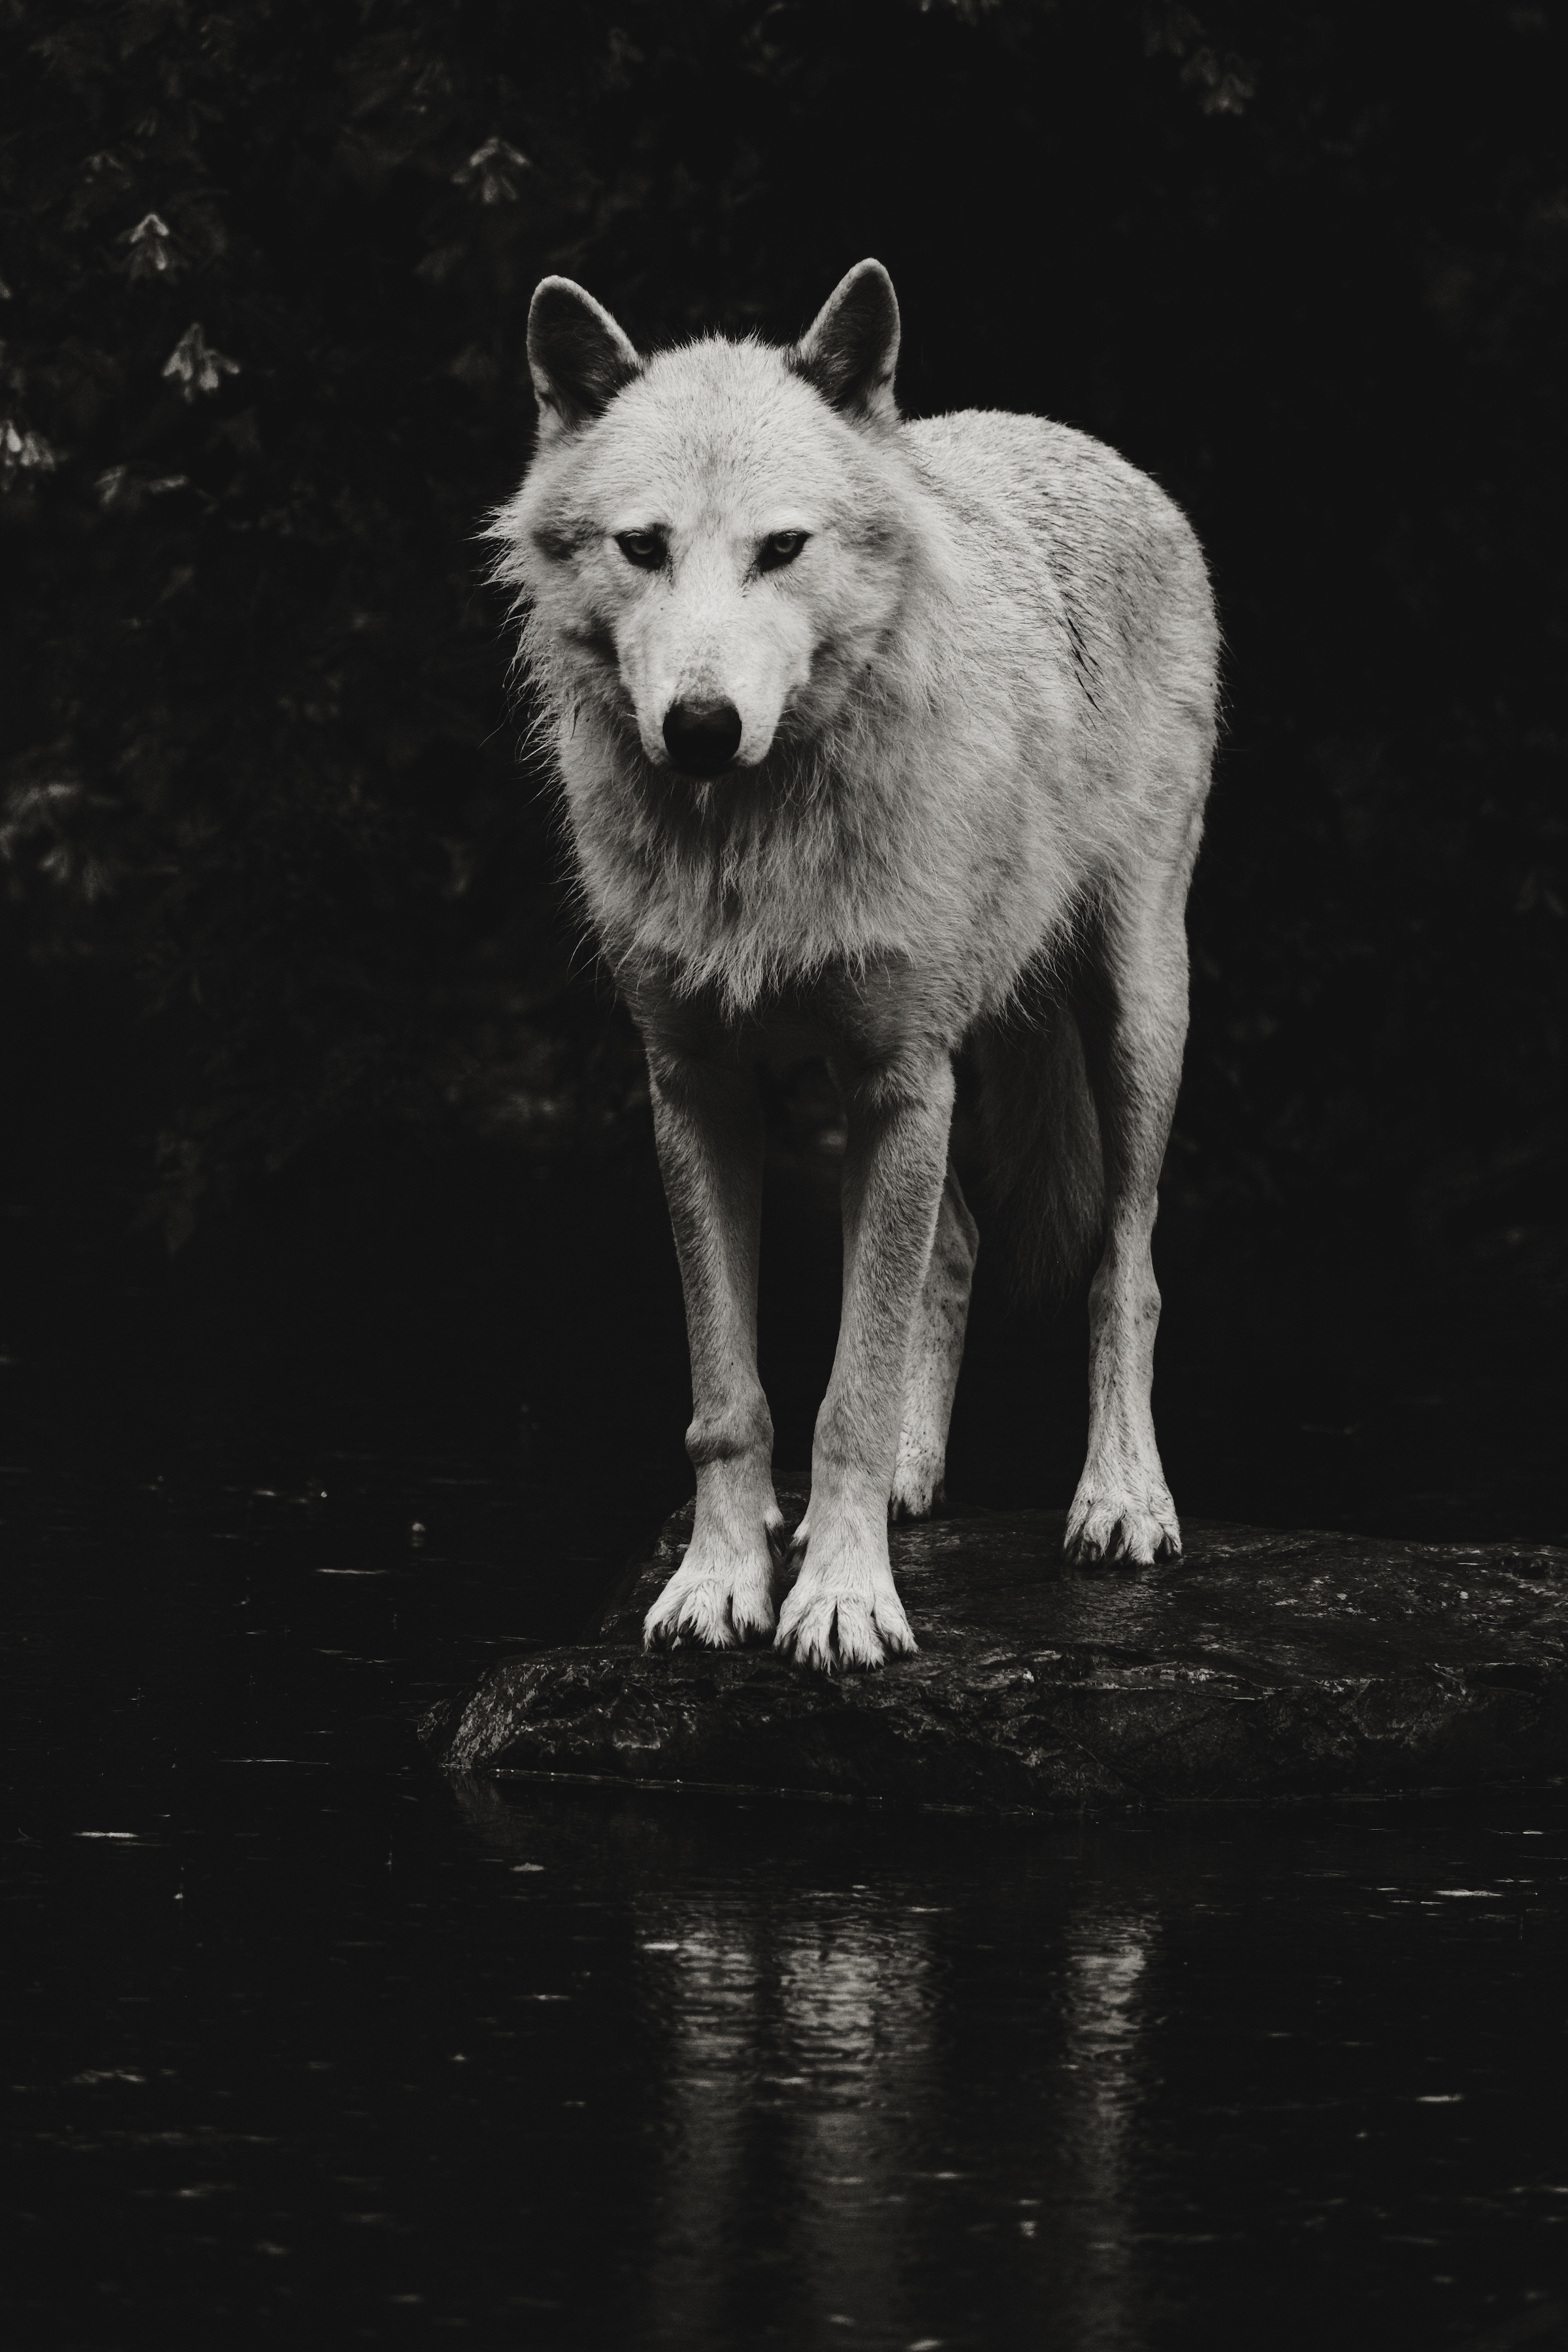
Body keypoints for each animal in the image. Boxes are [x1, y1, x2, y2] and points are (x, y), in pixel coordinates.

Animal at [489, 259, 1218, 1675]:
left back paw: (1119, 1499)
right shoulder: (698, 1091)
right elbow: (732, 1396)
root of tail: (1072, 438)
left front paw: (839, 1600)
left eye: (784, 548)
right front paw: (721, 1583)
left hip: (1134, 1017)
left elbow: (851, 1390)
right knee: (960, 1245)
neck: (752, 840)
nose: (700, 727)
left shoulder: (898, 1077)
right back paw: (910, 1485)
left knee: (1128, 1263)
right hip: (876, 1091)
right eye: (642, 547)